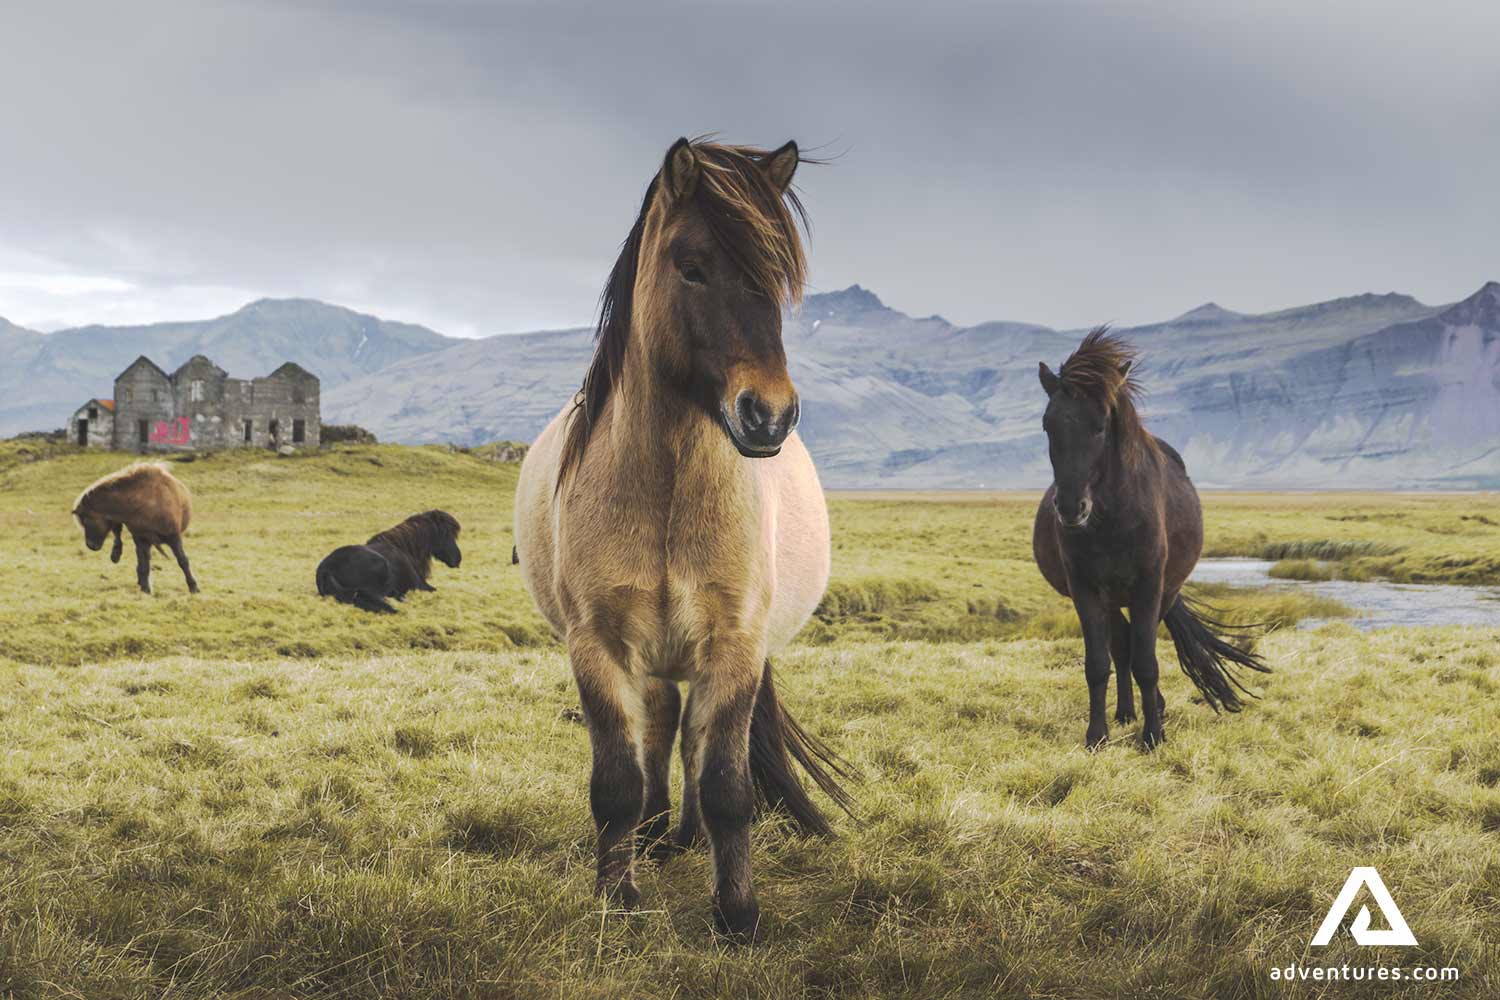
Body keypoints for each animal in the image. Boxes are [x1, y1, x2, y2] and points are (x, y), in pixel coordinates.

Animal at [73, 462, 198, 594]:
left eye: (86, 520)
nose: (90, 545)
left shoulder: (173, 537)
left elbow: (182, 560)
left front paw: (193, 587)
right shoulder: (141, 539)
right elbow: (144, 564)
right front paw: (146, 589)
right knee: (120, 536)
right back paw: (117, 555)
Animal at [513, 137, 857, 941]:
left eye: (779, 280)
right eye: (691, 266)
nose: (769, 414)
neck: (668, 493)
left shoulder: (733, 644)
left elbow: (727, 783)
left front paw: (737, 915)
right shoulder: (599, 645)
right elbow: (615, 779)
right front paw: (617, 896)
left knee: (695, 743)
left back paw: (687, 836)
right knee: (662, 726)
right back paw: (652, 834)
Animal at [1032, 329, 1270, 750]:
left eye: (1100, 425)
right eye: (1049, 425)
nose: (1071, 508)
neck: (1112, 520)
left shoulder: (1149, 586)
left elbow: (1147, 662)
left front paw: (1153, 735)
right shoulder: (1085, 589)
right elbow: (1098, 664)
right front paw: (1097, 736)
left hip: (1165, 592)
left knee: (1136, 648)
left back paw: (1151, 709)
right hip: (1113, 598)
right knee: (1121, 646)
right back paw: (1126, 712)